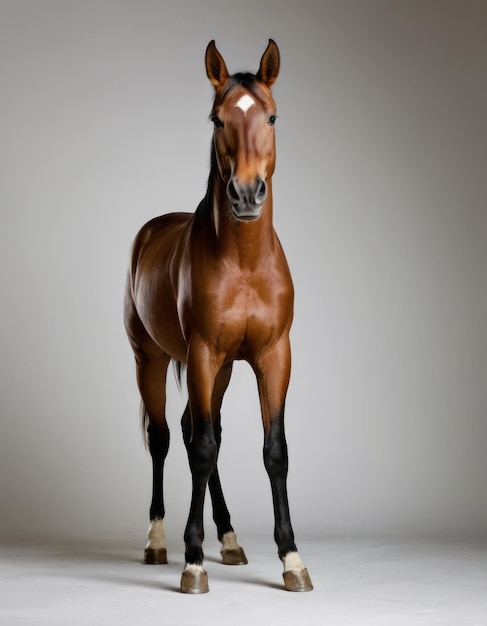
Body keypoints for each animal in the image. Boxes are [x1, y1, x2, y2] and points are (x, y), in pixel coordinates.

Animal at [124, 39, 314, 596]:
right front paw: (193, 562)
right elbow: (202, 449)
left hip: (224, 370)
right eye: (216, 119)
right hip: (152, 361)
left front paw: (291, 558)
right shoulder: (203, 353)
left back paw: (227, 538)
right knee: (168, 439)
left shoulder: (273, 357)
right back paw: (159, 541)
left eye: (271, 116)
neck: (245, 262)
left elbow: (274, 450)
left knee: (198, 431)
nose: (247, 193)